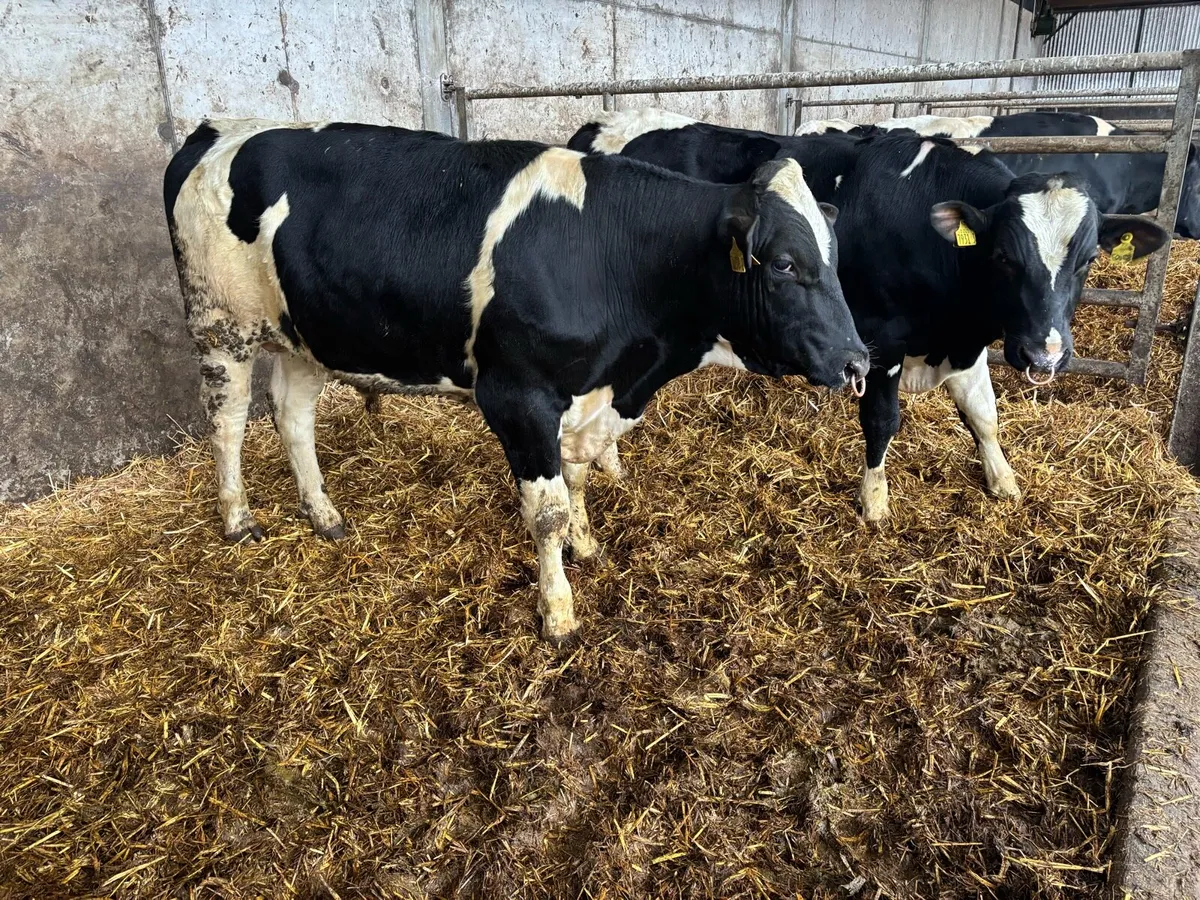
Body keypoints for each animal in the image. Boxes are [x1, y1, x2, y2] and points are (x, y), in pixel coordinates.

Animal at [163, 118, 869, 642]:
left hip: (306, 335)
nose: (857, 360)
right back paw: (238, 519)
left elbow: (577, 480)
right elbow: (546, 510)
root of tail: (215, 132)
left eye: (837, 261)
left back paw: (324, 514)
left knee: (292, 416)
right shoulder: (519, 399)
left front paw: (587, 544)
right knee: (228, 424)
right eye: (783, 263)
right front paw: (558, 611)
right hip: (221, 324)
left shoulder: (590, 398)